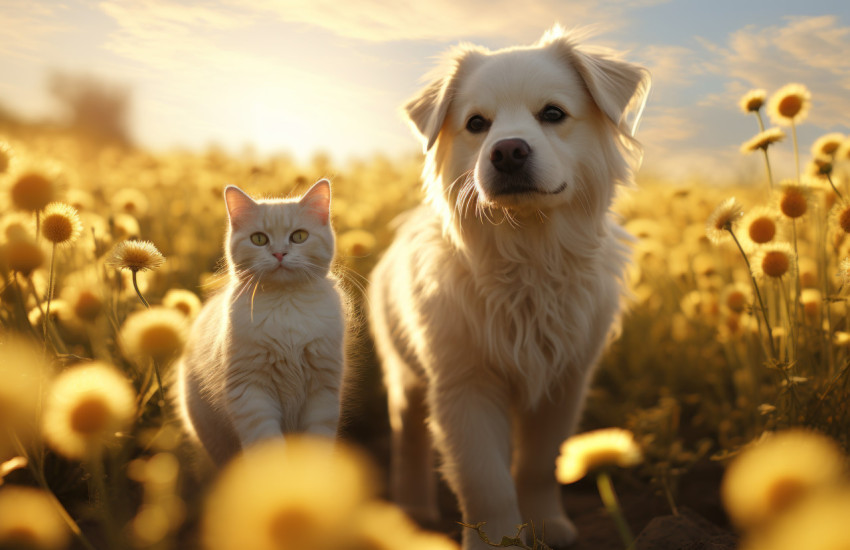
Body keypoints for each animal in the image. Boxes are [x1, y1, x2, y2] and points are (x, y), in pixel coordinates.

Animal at [176, 181, 344, 470]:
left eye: (299, 236)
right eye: (259, 239)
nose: (279, 253)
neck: (286, 304)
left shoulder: (323, 390)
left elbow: (316, 450)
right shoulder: (250, 393)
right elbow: (268, 450)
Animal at [366, 27, 648, 550]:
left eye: (553, 114)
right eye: (477, 124)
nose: (507, 151)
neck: (528, 250)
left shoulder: (565, 380)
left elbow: (538, 464)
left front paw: (547, 526)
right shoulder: (463, 385)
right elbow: (485, 480)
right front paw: (498, 538)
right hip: (404, 375)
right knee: (408, 440)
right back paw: (413, 511)